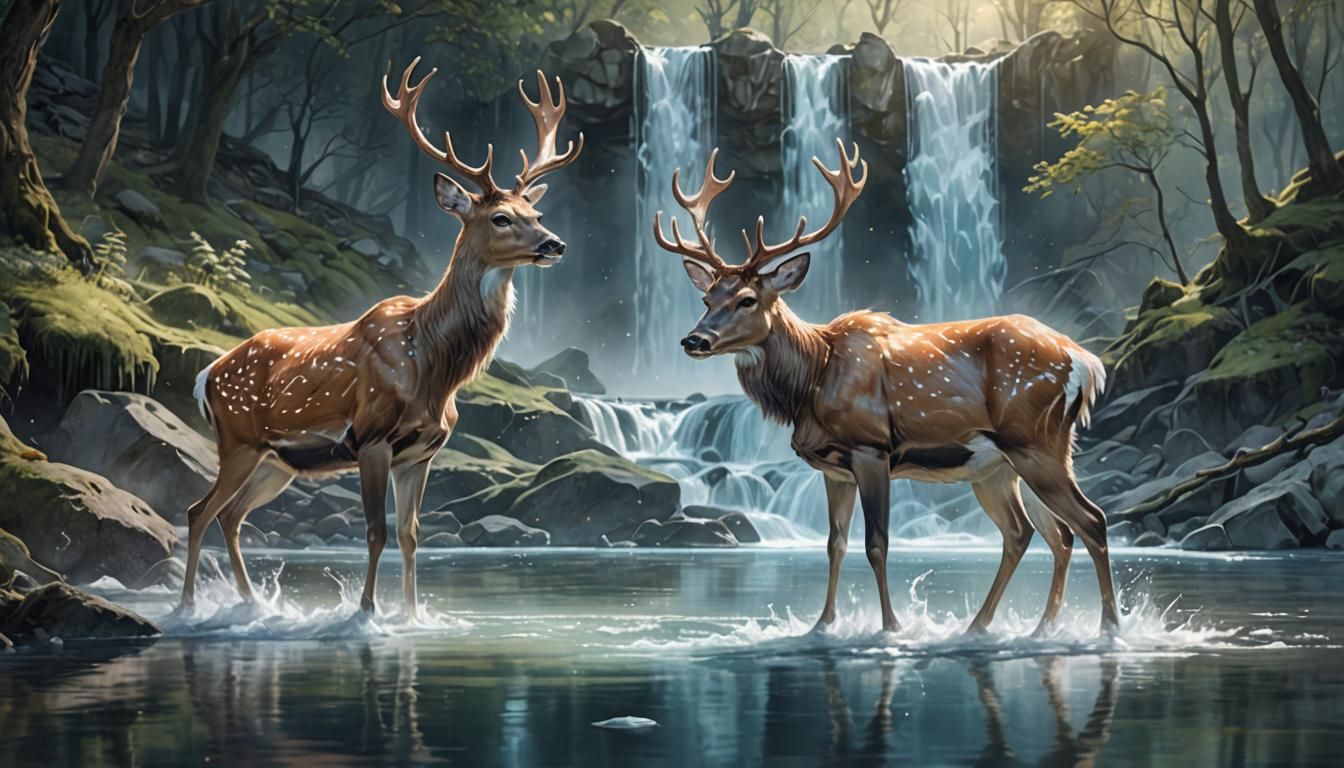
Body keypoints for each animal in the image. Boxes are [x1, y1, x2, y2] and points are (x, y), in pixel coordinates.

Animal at [179, 58, 583, 620]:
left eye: (537, 215)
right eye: (501, 217)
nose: (555, 244)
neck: (433, 364)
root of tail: (206, 376)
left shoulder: (421, 453)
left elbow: (412, 536)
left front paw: (412, 616)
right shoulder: (371, 437)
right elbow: (375, 533)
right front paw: (367, 613)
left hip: (278, 461)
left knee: (230, 515)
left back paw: (254, 605)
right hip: (238, 440)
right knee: (198, 511)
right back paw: (188, 609)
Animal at [653, 141, 1118, 636]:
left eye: (747, 299)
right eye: (707, 298)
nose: (694, 340)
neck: (812, 380)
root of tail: (1086, 361)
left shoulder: (872, 448)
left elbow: (877, 543)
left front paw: (891, 626)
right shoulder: (833, 468)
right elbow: (835, 543)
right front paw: (822, 624)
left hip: (1037, 442)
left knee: (1090, 520)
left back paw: (1107, 627)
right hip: (1001, 465)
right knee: (1038, 532)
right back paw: (1012, 627)